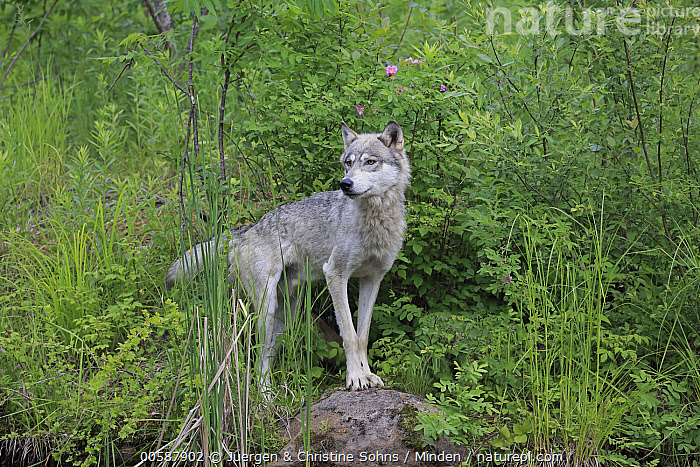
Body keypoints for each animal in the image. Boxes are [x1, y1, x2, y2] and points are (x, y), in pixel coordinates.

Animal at [165, 121, 410, 390]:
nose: (344, 183)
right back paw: (266, 394)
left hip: (287, 314)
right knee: (259, 358)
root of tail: (246, 229)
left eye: (370, 162)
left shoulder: (372, 279)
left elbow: (362, 336)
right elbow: (349, 335)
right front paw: (355, 378)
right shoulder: (335, 274)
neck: (374, 220)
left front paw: (368, 375)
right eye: (348, 162)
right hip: (267, 309)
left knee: (270, 352)